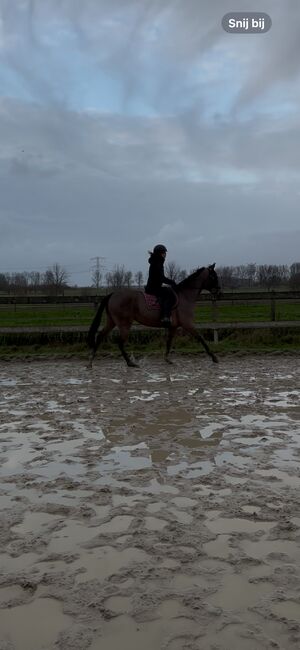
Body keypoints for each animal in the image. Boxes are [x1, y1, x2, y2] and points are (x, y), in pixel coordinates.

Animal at [85, 262, 221, 364]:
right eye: (213, 276)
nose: (219, 291)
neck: (185, 296)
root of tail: (113, 294)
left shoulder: (173, 326)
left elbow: (169, 342)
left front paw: (167, 359)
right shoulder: (187, 324)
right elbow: (200, 338)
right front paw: (214, 357)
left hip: (112, 321)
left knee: (100, 336)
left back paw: (91, 362)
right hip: (124, 324)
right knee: (120, 342)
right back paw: (130, 363)